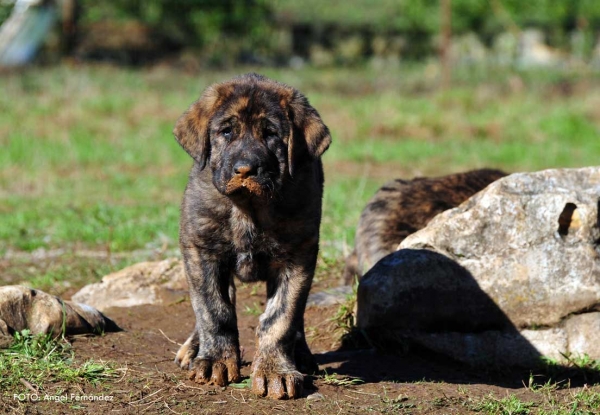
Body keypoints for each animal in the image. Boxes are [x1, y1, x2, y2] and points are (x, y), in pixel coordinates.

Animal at [173, 74, 330, 400]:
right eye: (226, 131)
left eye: (271, 134)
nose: (245, 169)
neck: (248, 208)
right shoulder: (202, 251)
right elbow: (213, 309)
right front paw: (215, 360)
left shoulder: (297, 256)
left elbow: (281, 317)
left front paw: (275, 370)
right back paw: (193, 348)